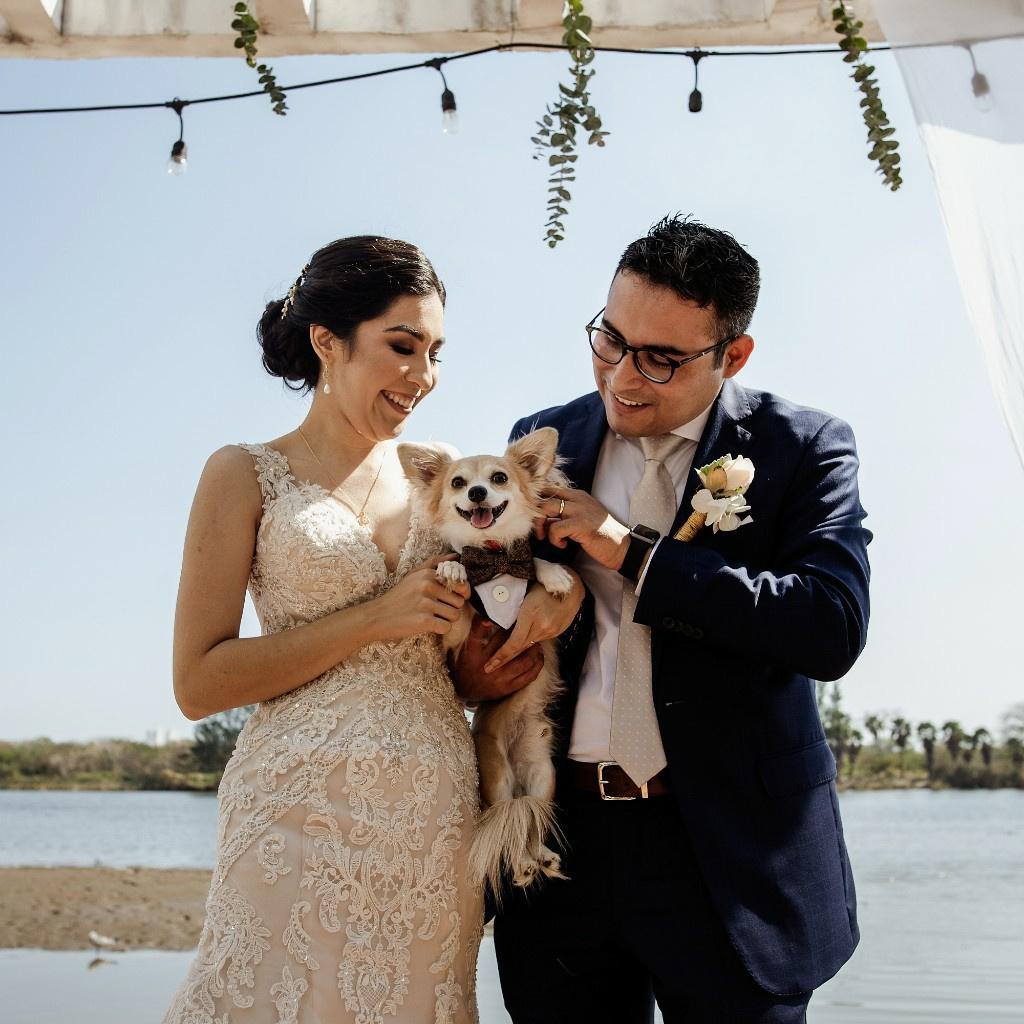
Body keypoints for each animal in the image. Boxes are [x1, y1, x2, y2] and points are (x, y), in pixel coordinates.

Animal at [399, 428, 573, 892]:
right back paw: (527, 864)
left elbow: (533, 562)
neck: (493, 556)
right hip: (497, 778)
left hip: (543, 776)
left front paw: (554, 574)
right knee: (510, 817)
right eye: (458, 483)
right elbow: (459, 594)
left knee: (528, 819)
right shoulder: (456, 638)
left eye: (499, 478)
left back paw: (540, 857)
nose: (477, 492)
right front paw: (454, 570)